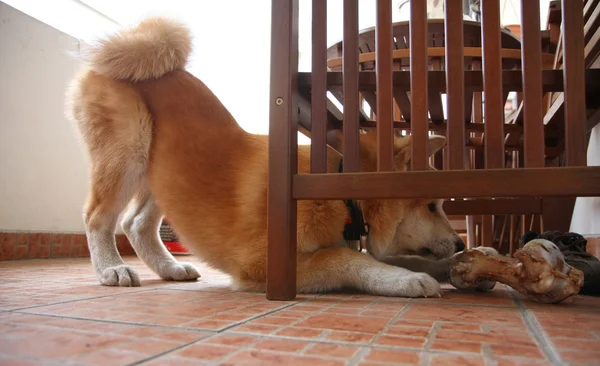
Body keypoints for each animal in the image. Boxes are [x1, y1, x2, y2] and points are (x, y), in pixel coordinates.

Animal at [65, 16, 466, 298]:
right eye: (432, 206)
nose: (462, 243)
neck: (341, 197)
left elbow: (386, 254)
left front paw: (452, 265)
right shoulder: (265, 262)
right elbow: (346, 257)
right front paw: (409, 279)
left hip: (162, 174)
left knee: (136, 224)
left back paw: (170, 268)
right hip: (129, 150)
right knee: (97, 217)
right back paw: (111, 269)